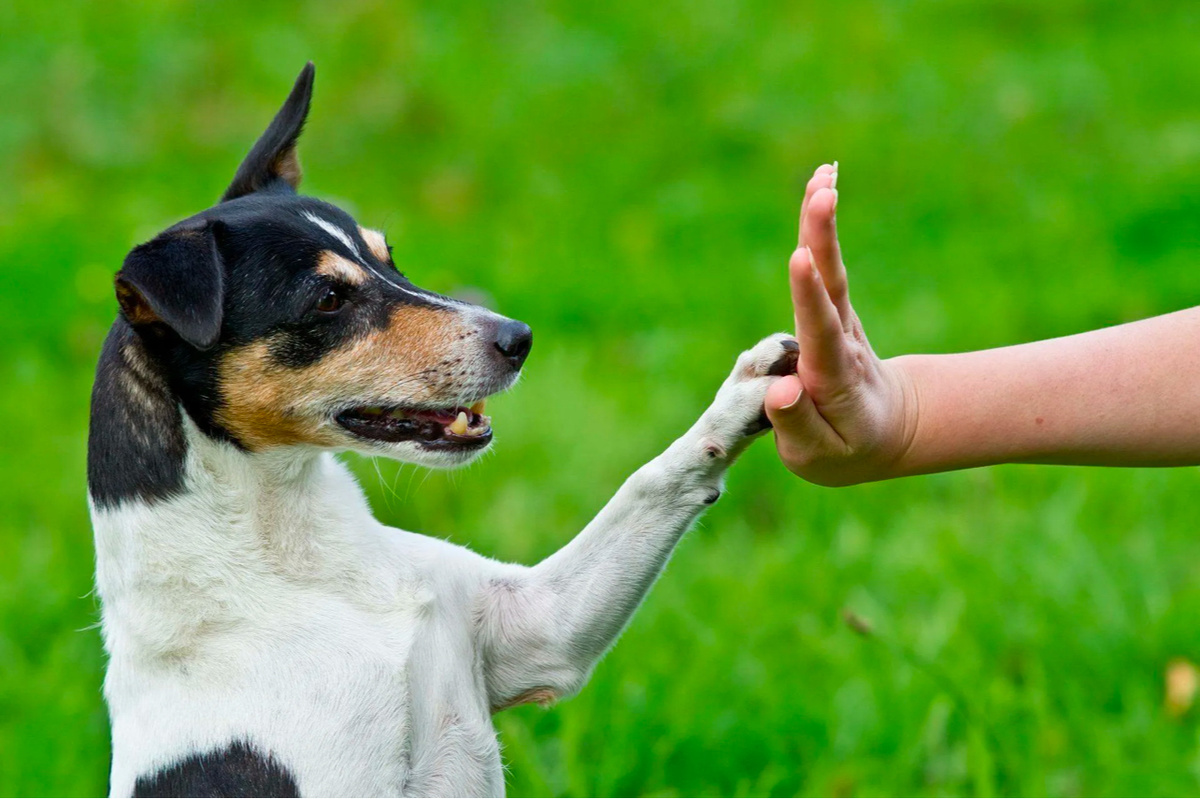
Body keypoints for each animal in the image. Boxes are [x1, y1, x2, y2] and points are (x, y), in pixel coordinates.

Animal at [87, 63, 798, 797]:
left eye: (389, 259)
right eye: (328, 299)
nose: (519, 338)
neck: (298, 562)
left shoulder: (540, 628)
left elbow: (651, 481)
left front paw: (748, 391)